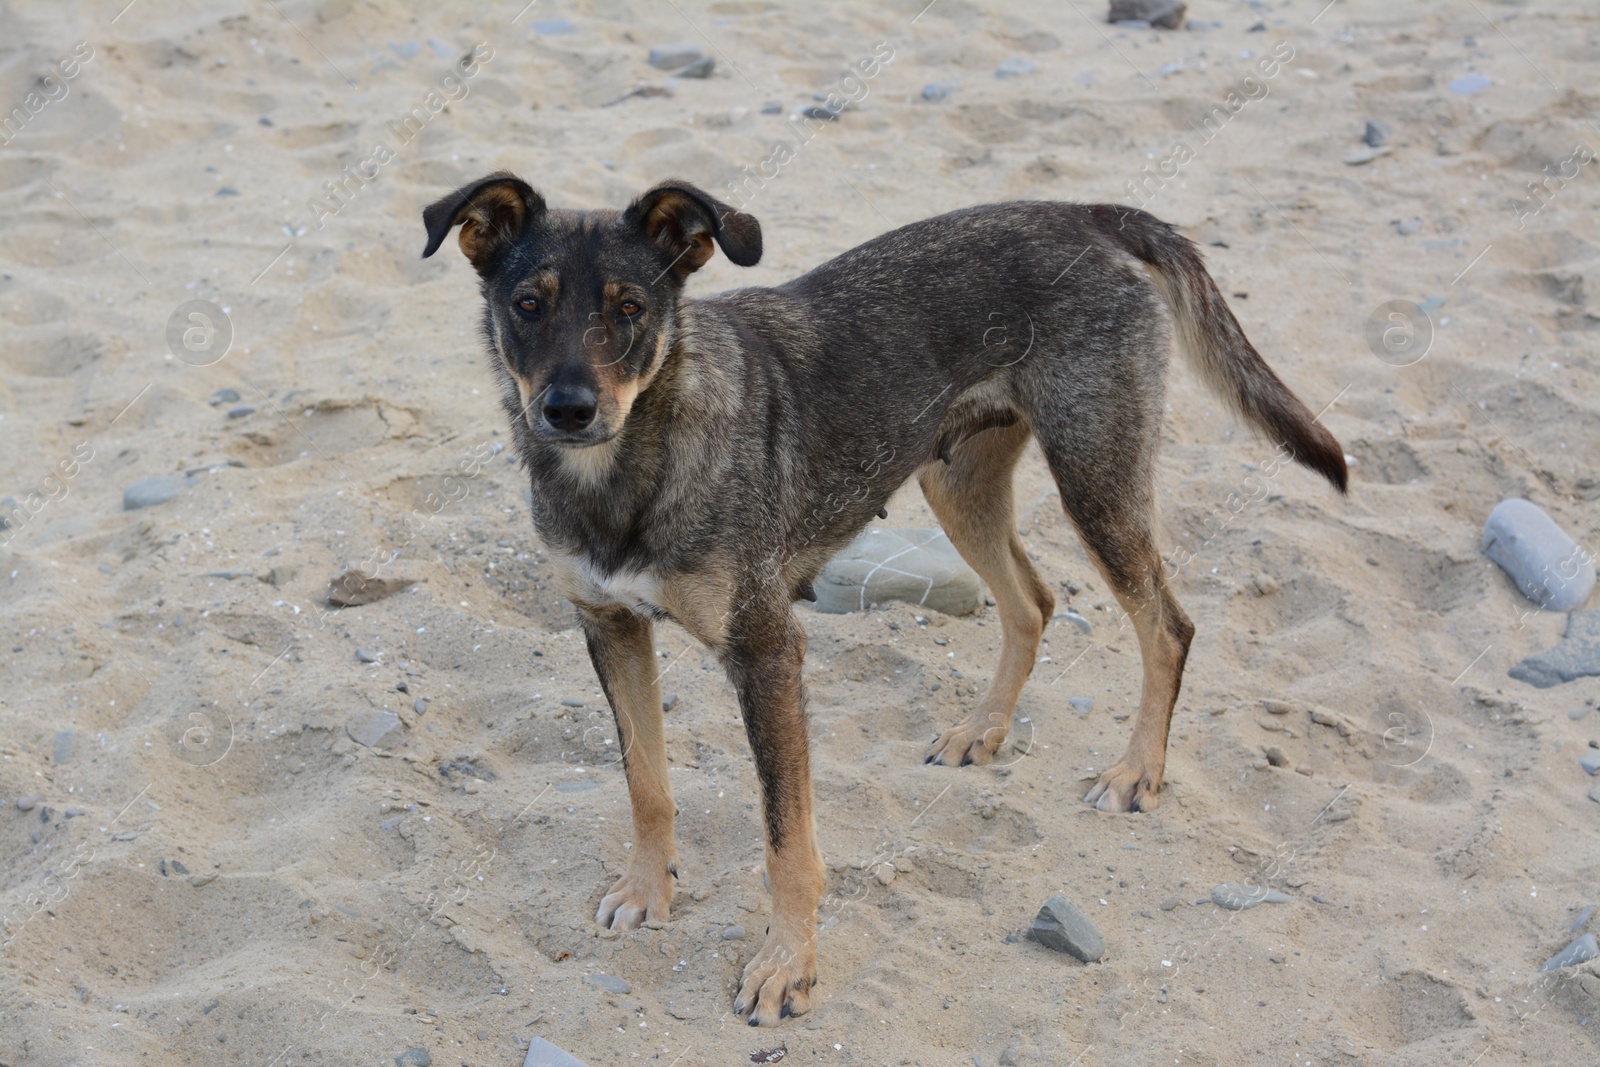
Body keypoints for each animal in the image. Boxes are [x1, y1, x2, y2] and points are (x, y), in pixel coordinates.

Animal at [419, 175, 1344, 1023]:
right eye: (527, 305)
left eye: (631, 307)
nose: (567, 410)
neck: (630, 464)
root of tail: (1079, 209)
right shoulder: (608, 627)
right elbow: (645, 780)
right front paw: (648, 891)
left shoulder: (766, 651)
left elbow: (785, 841)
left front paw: (786, 965)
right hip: (957, 478)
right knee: (1033, 600)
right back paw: (982, 729)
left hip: (1096, 478)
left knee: (1168, 624)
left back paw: (1136, 771)